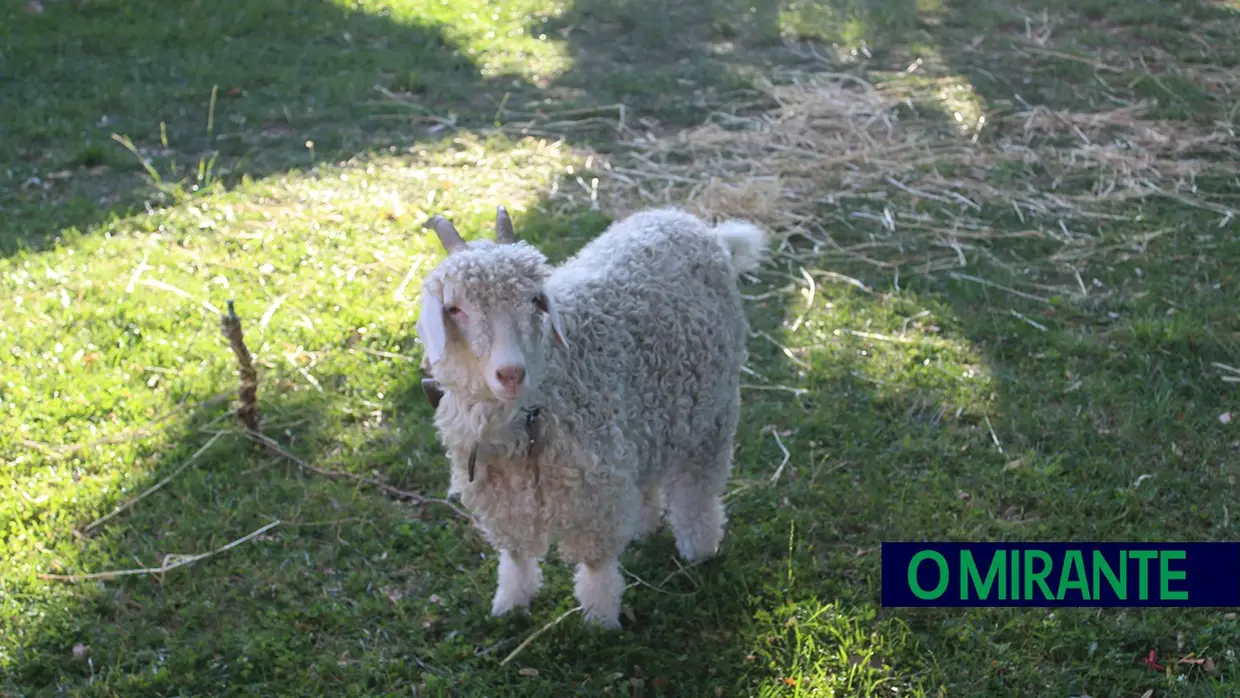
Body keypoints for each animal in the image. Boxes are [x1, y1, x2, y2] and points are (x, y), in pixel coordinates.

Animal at [416, 204, 763, 629]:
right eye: (455, 309)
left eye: (535, 301)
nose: (511, 373)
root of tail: (697, 226)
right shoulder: (502, 501)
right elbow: (516, 558)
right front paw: (510, 604)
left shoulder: (596, 489)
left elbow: (597, 565)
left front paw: (600, 621)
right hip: (651, 416)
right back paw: (644, 526)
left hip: (713, 413)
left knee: (697, 490)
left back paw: (699, 548)